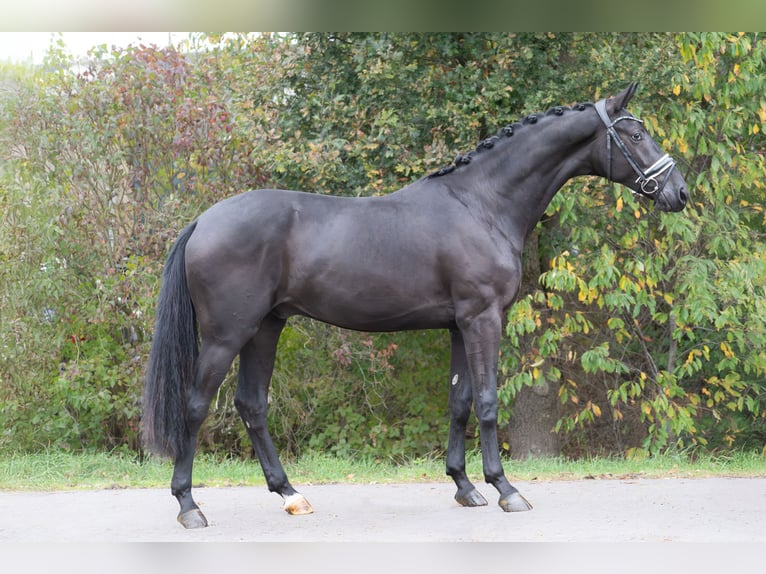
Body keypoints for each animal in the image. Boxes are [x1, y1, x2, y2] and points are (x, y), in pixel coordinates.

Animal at [142, 83, 688, 528]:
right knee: (196, 406)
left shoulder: (458, 325)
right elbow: (487, 401)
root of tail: (203, 221)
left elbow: (460, 402)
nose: (679, 192)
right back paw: (189, 506)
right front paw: (505, 489)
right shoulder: (483, 319)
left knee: (252, 405)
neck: (482, 204)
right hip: (226, 334)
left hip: (266, 327)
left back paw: (291, 495)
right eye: (635, 133)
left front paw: (465, 487)